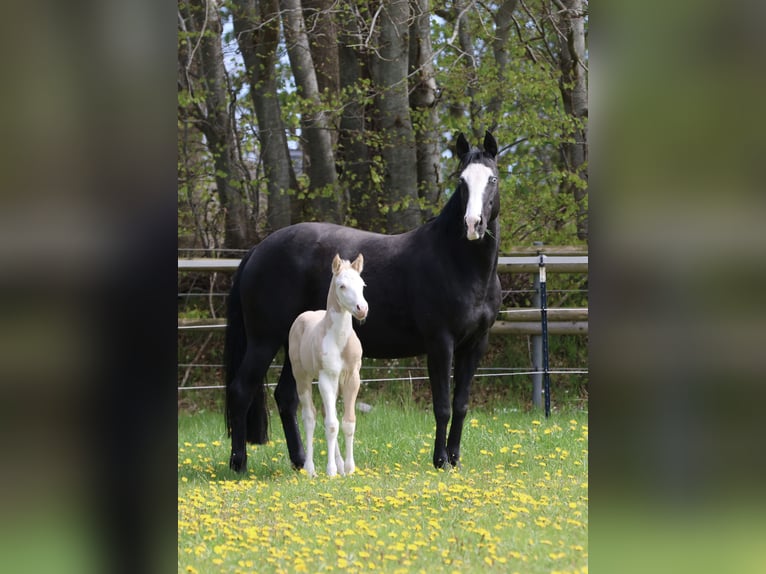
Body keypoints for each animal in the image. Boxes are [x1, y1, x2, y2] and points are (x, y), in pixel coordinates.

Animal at [288, 253, 368, 477]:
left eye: (362, 285)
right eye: (342, 286)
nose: (362, 309)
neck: (339, 341)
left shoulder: (352, 378)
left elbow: (348, 422)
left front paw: (349, 468)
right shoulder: (326, 378)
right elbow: (332, 425)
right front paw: (331, 471)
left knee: (325, 413)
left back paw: (340, 465)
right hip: (302, 377)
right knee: (310, 417)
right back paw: (310, 469)